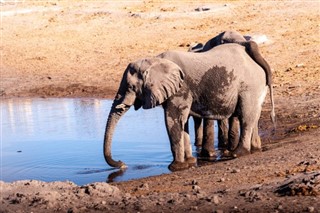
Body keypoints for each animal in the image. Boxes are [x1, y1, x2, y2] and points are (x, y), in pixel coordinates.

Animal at [103, 42, 276, 171]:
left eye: (131, 87)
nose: (122, 164)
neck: (155, 60)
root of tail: (255, 56)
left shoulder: (181, 89)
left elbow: (172, 121)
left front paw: (176, 167)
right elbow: (182, 122)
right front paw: (190, 162)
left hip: (250, 85)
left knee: (246, 116)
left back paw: (238, 153)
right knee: (254, 115)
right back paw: (255, 149)